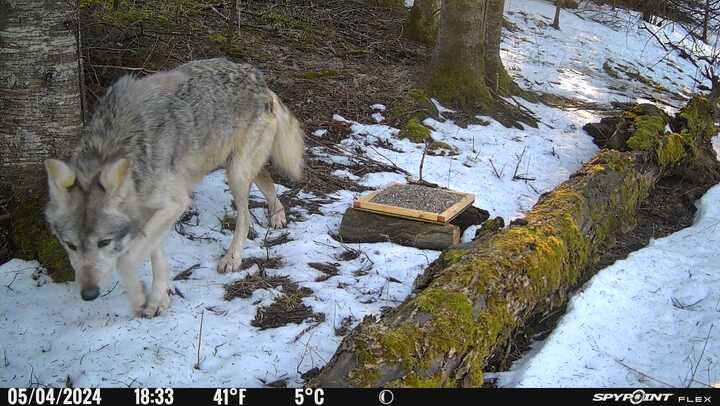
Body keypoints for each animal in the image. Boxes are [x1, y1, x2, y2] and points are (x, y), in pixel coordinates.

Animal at [44, 58, 304, 317]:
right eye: (70, 245)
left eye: (104, 243)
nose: (89, 294)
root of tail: (260, 80)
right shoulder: (153, 212)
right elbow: (155, 255)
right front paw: (159, 299)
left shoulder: (175, 203)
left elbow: (126, 260)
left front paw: (138, 297)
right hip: (236, 166)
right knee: (267, 180)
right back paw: (278, 214)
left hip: (236, 174)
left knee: (246, 216)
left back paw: (232, 258)